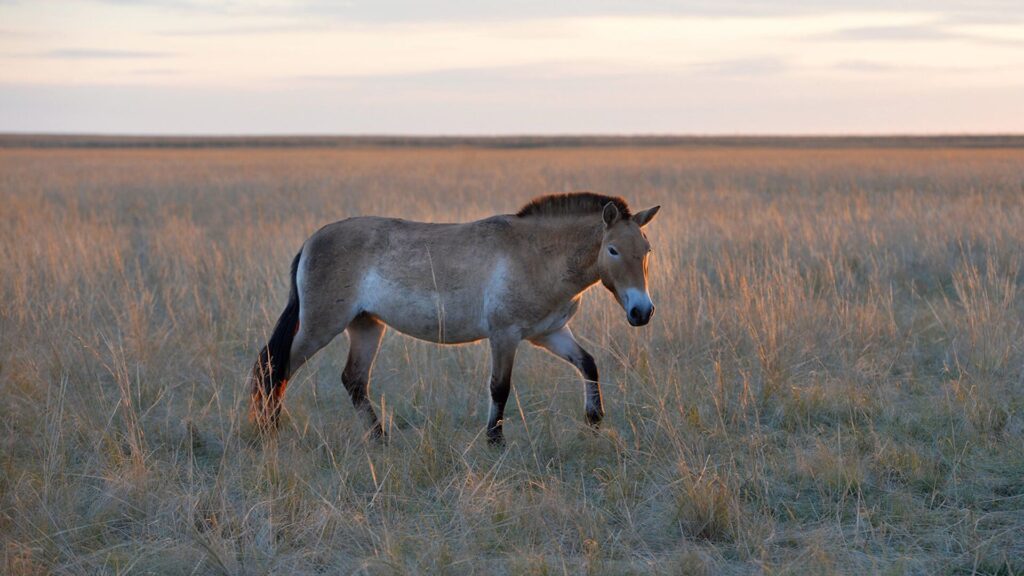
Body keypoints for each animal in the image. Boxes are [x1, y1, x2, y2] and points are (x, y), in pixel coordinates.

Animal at [250, 192, 659, 444]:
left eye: (647, 249)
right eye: (613, 249)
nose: (642, 312)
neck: (537, 255)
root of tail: (311, 242)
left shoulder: (550, 333)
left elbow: (588, 364)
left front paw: (594, 419)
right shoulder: (505, 335)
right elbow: (500, 387)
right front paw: (495, 440)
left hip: (366, 325)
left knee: (353, 380)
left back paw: (380, 439)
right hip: (320, 326)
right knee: (275, 368)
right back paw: (268, 431)